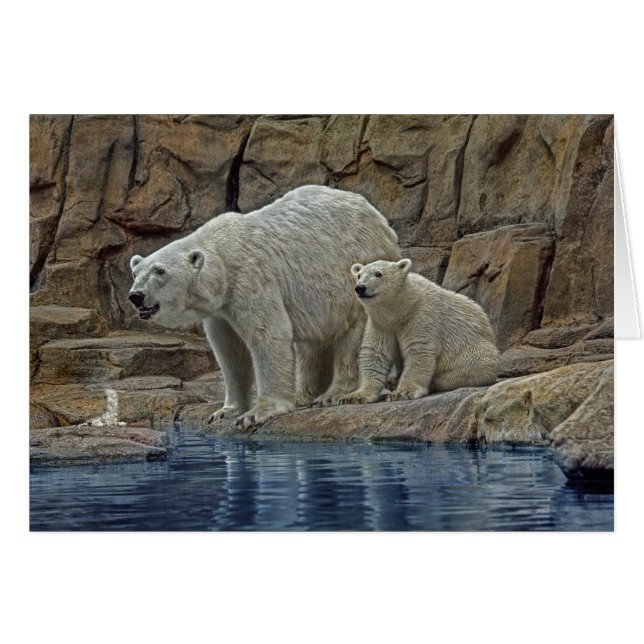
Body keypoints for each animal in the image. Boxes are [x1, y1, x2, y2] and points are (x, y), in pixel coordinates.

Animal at [128, 185, 401, 428]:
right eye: (136, 272)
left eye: (160, 271)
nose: (136, 296)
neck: (224, 259)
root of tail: (382, 222)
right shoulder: (220, 310)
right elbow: (228, 349)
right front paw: (225, 411)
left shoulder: (252, 278)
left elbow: (268, 334)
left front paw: (256, 413)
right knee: (312, 343)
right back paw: (303, 395)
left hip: (357, 279)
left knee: (351, 336)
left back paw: (333, 394)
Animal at [338, 258, 499, 405]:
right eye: (359, 275)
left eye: (378, 273)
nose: (360, 287)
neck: (402, 307)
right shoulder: (381, 324)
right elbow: (375, 353)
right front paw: (353, 396)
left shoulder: (421, 314)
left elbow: (419, 350)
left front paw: (402, 392)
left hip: (473, 349)